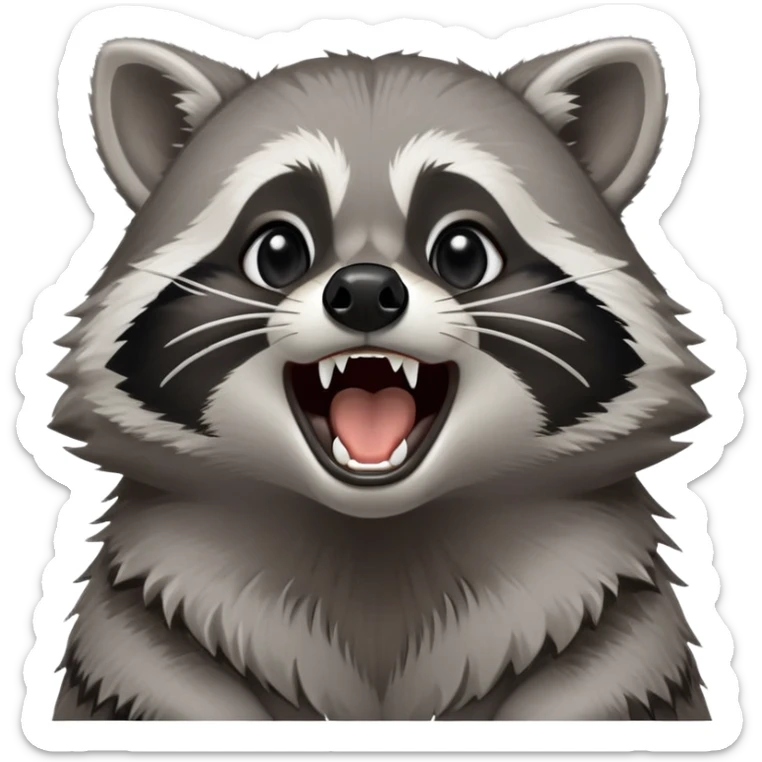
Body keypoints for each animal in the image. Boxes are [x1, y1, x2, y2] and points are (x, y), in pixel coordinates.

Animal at [50, 35, 712, 721]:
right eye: (278, 251)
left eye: (463, 252)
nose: (366, 292)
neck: (376, 535)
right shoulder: (140, 651)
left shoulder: (619, 647)